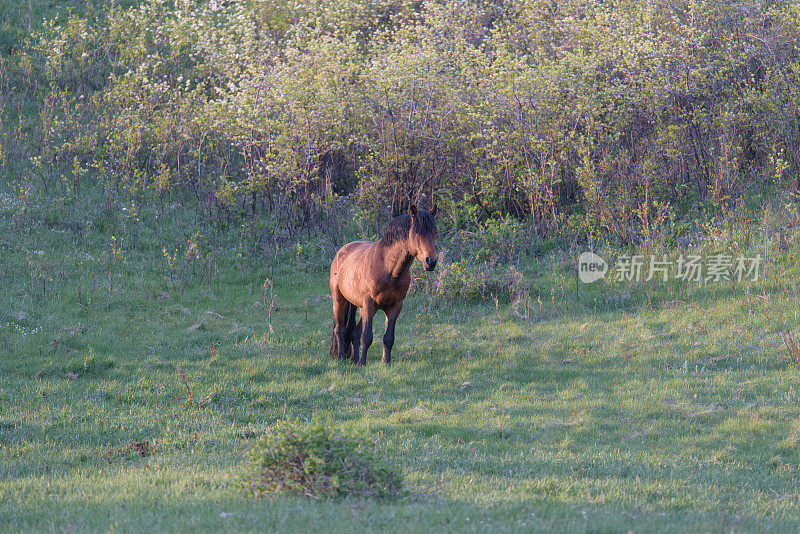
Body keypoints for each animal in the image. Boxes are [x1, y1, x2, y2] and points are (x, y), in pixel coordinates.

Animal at [330, 207, 440, 366]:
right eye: (417, 232)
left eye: (435, 231)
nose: (431, 261)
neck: (388, 270)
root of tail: (342, 251)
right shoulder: (369, 304)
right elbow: (367, 336)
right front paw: (362, 363)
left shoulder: (395, 306)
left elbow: (388, 338)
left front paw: (385, 362)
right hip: (339, 300)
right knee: (340, 330)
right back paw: (341, 357)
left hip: (361, 307)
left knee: (355, 332)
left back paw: (354, 358)